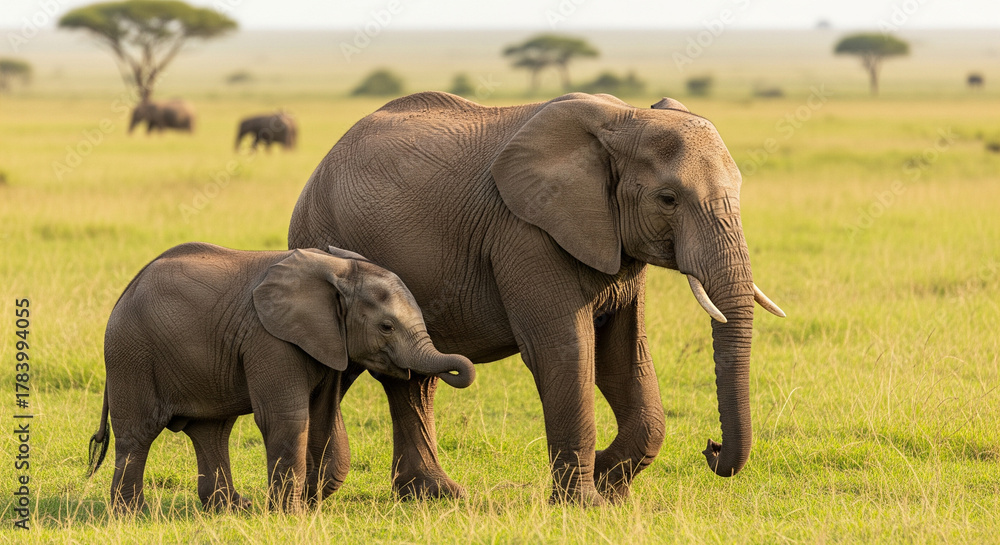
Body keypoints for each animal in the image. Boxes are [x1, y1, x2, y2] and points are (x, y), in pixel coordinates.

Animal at [87, 242, 475, 513]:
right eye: (387, 327)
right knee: (138, 434)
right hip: (131, 355)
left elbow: (321, 420)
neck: (338, 270)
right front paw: (292, 515)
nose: (457, 369)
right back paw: (132, 514)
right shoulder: (270, 340)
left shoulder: (324, 341)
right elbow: (286, 419)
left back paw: (232, 509)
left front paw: (306, 504)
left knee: (212, 431)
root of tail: (124, 292)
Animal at [287, 91, 785, 505]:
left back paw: (434, 495)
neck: (624, 119)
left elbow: (624, 356)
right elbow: (566, 351)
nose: (711, 447)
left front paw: (610, 487)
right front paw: (585, 502)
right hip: (323, 234)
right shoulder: (526, 232)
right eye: (668, 199)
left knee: (412, 381)